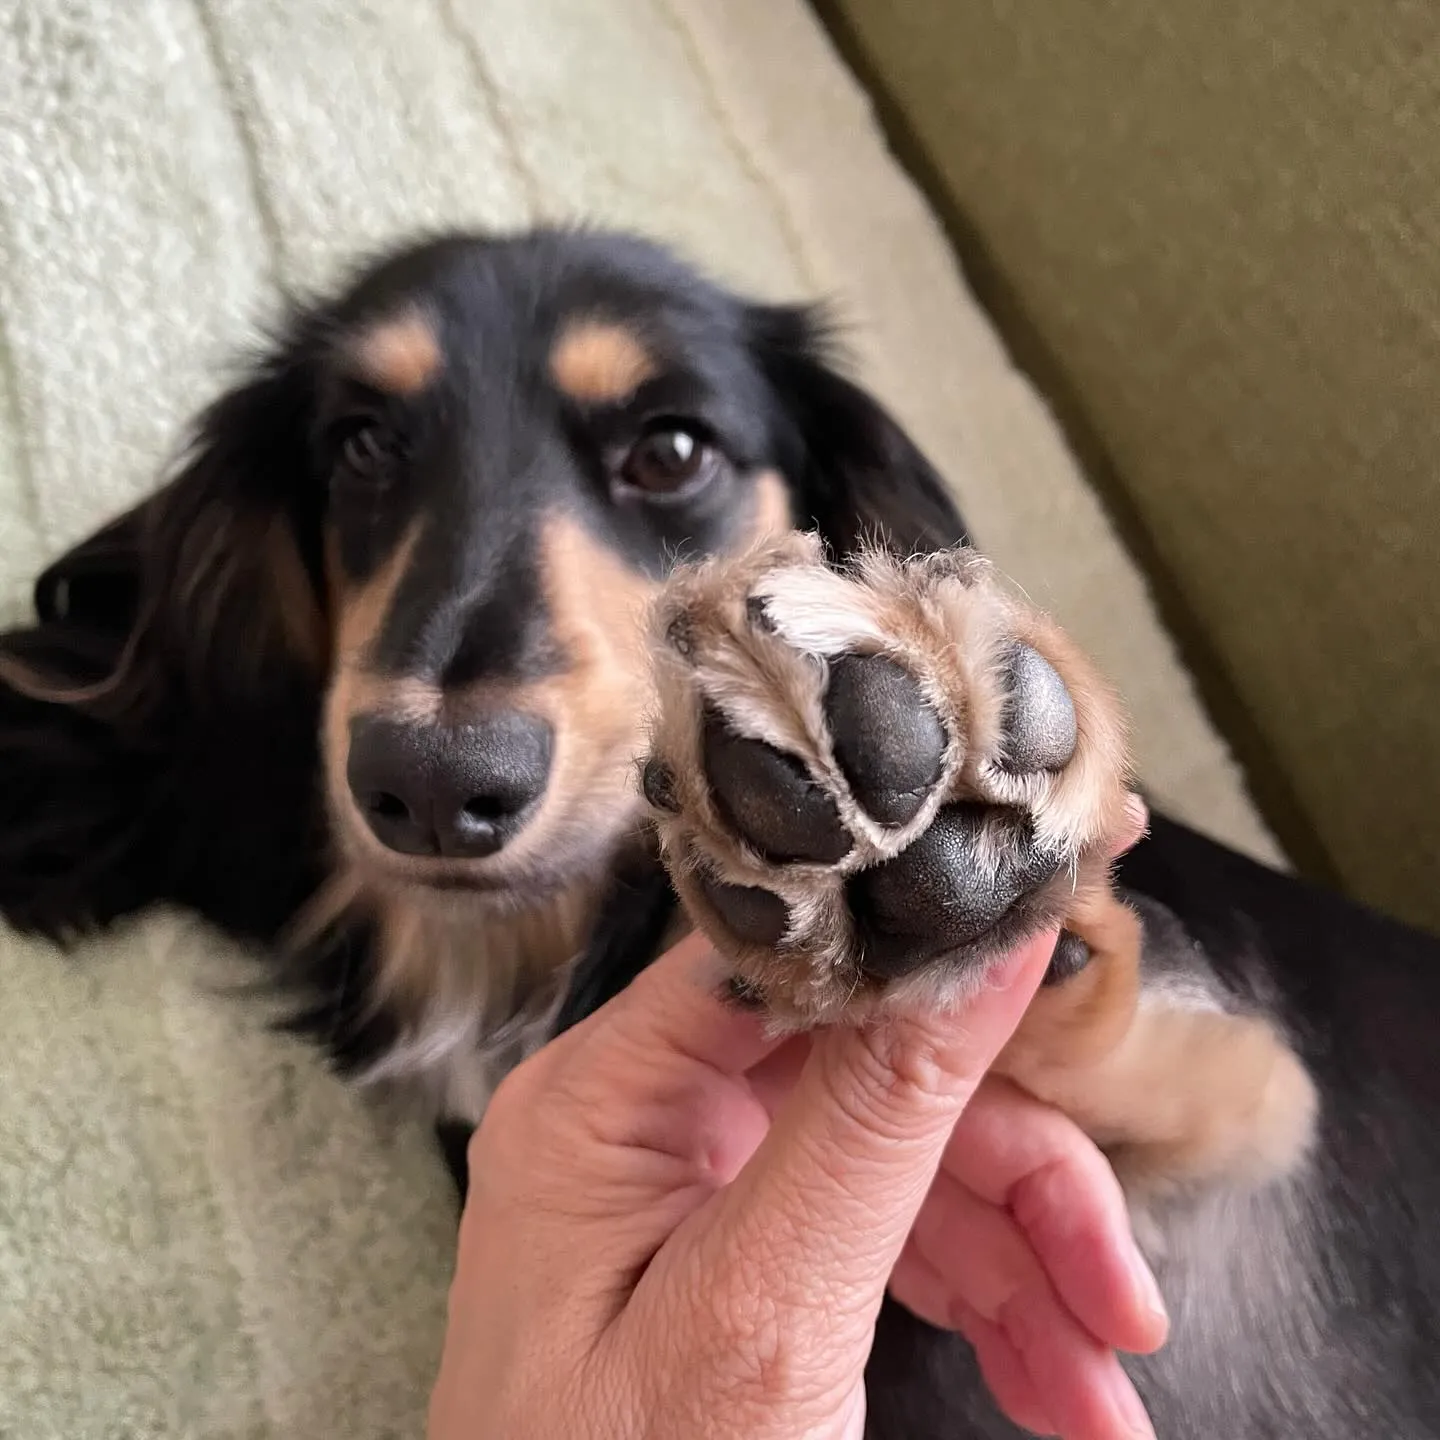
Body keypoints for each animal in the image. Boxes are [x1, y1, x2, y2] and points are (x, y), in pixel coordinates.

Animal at [2, 230, 1440, 1434]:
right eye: (360, 445)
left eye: (673, 452)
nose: (431, 784)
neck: (551, 945)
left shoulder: (1227, 1113)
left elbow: (1177, 1065)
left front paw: (950, 866)